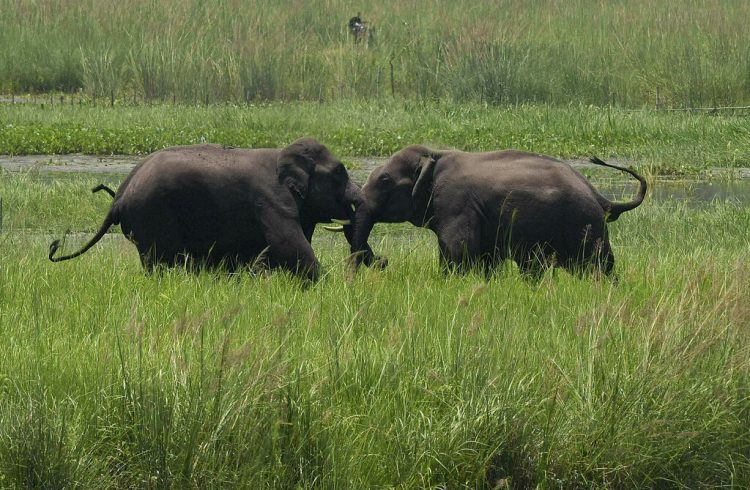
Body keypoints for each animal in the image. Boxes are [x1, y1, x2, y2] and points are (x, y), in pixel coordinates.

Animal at [47, 136, 378, 280]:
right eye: (340, 173)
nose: (384, 263)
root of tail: (118, 197)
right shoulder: (271, 201)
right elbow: (289, 244)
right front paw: (324, 284)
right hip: (152, 215)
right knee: (160, 260)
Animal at [350, 145, 648, 278]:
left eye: (385, 181)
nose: (384, 261)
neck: (434, 153)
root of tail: (601, 197)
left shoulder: (455, 203)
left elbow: (458, 250)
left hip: (585, 225)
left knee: (597, 267)